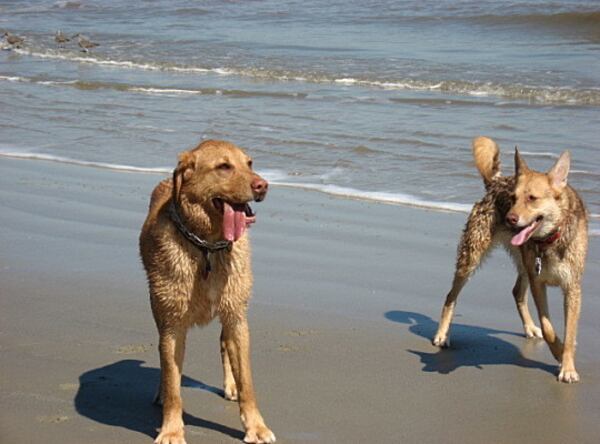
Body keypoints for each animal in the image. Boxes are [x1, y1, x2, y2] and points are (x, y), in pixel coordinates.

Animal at [139, 138, 276, 440]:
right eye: (223, 166)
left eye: (249, 163)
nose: (262, 185)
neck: (207, 246)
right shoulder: (172, 325)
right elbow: (172, 382)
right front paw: (172, 430)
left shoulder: (237, 317)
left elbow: (247, 381)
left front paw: (256, 426)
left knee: (225, 344)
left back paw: (231, 386)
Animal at [434, 137, 588, 384]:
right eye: (513, 198)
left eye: (532, 198)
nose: (509, 218)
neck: (549, 240)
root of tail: (496, 182)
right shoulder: (538, 283)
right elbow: (548, 328)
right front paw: (558, 352)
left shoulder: (572, 288)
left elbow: (569, 330)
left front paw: (567, 365)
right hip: (472, 257)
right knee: (451, 296)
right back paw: (442, 334)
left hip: (523, 264)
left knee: (517, 292)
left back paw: (530, 328)